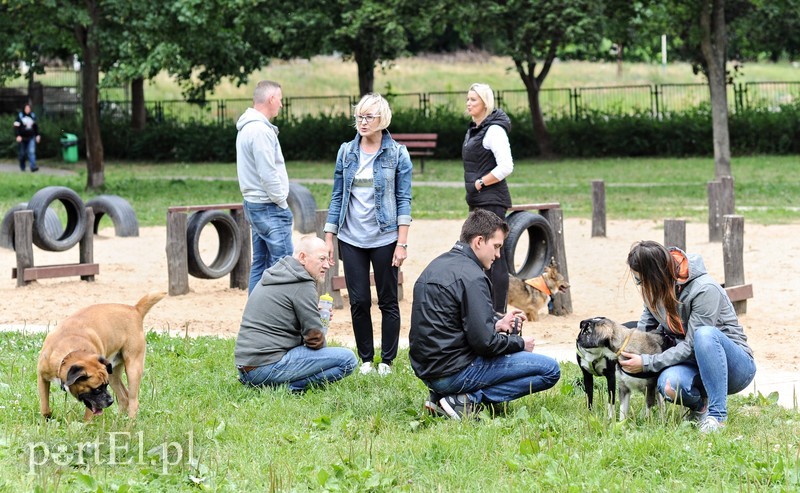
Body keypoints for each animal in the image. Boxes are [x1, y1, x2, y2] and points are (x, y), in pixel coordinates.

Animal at [37, 290, 166, 420]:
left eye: (105, 386)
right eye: (97, 389)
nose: (110, 401)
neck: (68, 352)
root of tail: (135, 309)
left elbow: (87, 418)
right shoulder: (42, 378)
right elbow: (44, 407)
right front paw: (45, 420)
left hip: (133, 369)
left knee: (133, 401)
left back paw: (129, 423)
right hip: (112, 372)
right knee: (124, 397)